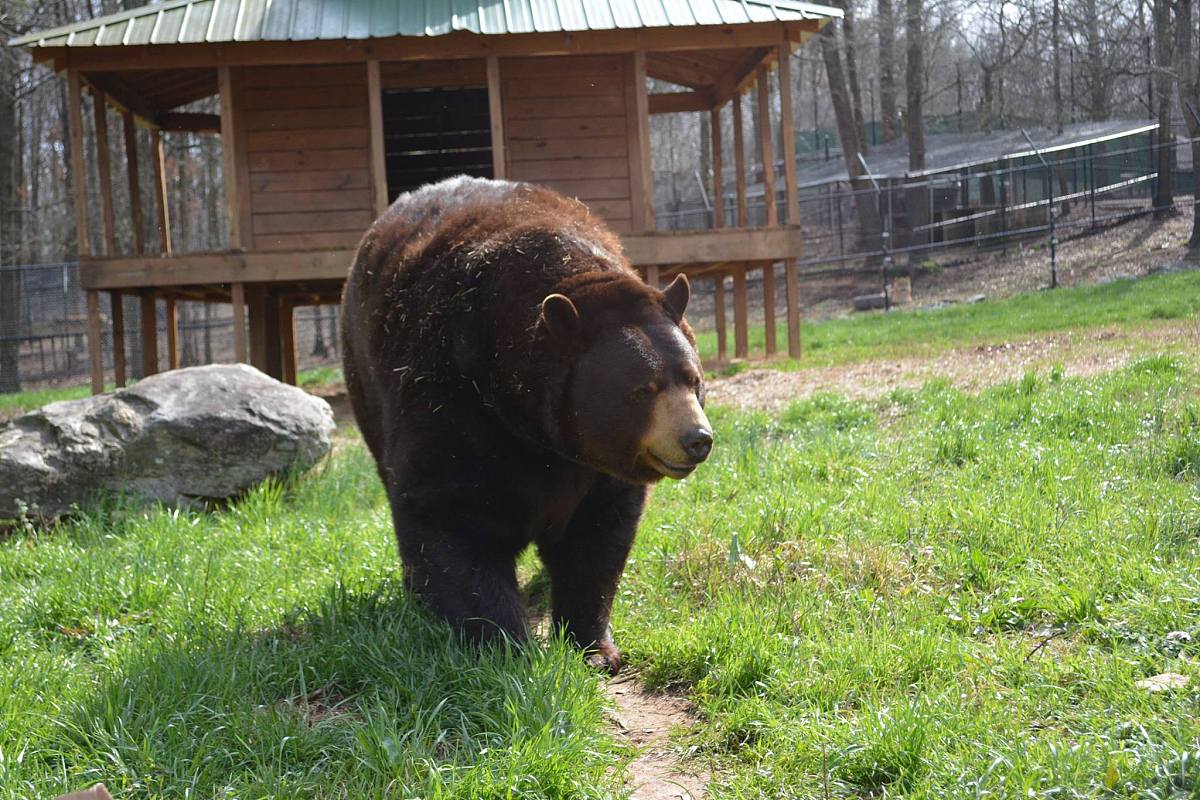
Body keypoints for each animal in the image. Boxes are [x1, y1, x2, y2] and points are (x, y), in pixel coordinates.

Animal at [340, 176, 712, 673]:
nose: (697, 439)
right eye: (644, 389)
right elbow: (450, 514)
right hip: (364, 380)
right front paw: (503, 646)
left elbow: (597, 537)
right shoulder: (451, 397)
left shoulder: (595, 466)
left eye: (693, 379)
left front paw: (594, 647)